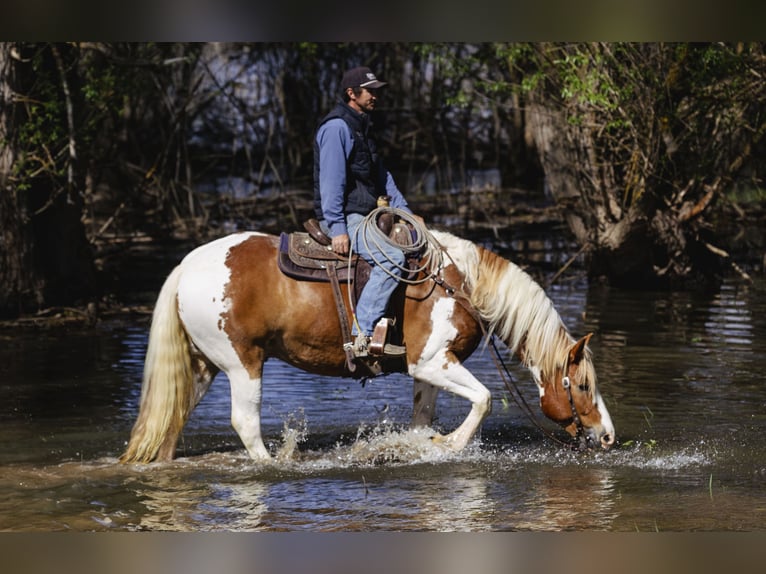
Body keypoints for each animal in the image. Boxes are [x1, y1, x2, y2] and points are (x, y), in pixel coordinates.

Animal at [120, 228, 615, 463]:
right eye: (583, 386)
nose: (608, 436)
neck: (459, 284)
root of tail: (186, 265)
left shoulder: (428, 371)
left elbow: (423, 418)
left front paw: (421, 445)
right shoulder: (432, 362)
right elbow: (485, 399)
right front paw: (450, 444)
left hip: (203, 365)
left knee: (171, 420)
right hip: (244, 363)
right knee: (245, 422)